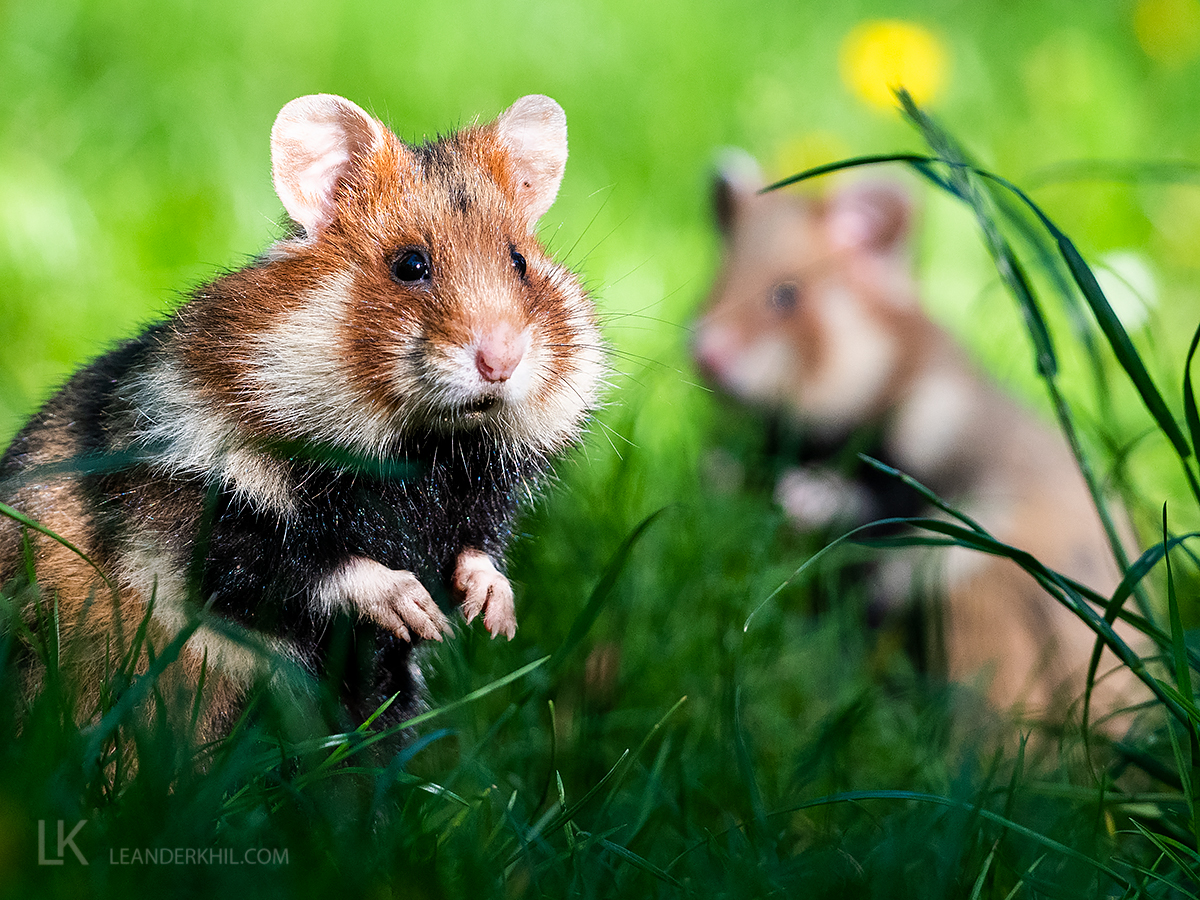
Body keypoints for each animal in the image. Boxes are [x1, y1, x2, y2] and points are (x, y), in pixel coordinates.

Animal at [0, 93, 604, 739]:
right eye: (410, 265)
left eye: (520, 262)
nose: (502, 360)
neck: (423, 446)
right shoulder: (184, 509)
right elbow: (300, 565)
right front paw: (417, 611)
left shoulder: (476, 502)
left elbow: (478, 551)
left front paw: (493, 617)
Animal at [696, 153, 1142, 734]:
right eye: (714, 281)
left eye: (786, 294)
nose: (704, 354)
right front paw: (720, 471)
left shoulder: (922, 466)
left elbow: (871, 499)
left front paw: (800, 494)